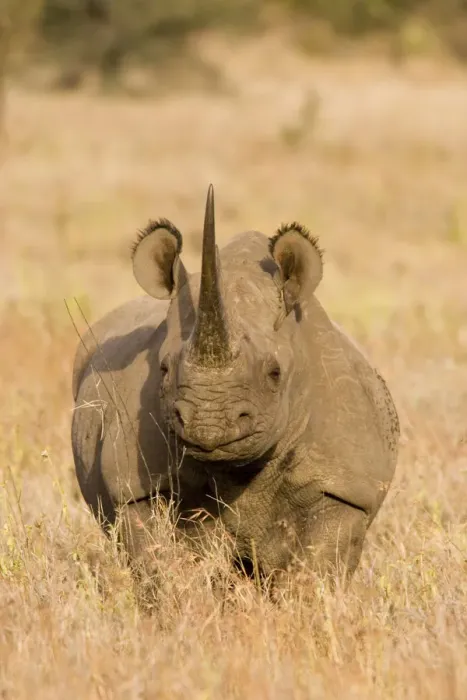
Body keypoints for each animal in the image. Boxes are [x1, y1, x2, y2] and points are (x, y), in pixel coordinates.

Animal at [71, 185, 399, 586]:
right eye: (163, 369)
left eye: (275, 373)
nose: (209, 423)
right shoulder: (133, 487)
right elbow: (162, 564)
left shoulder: (345, 487)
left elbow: (315, 569)